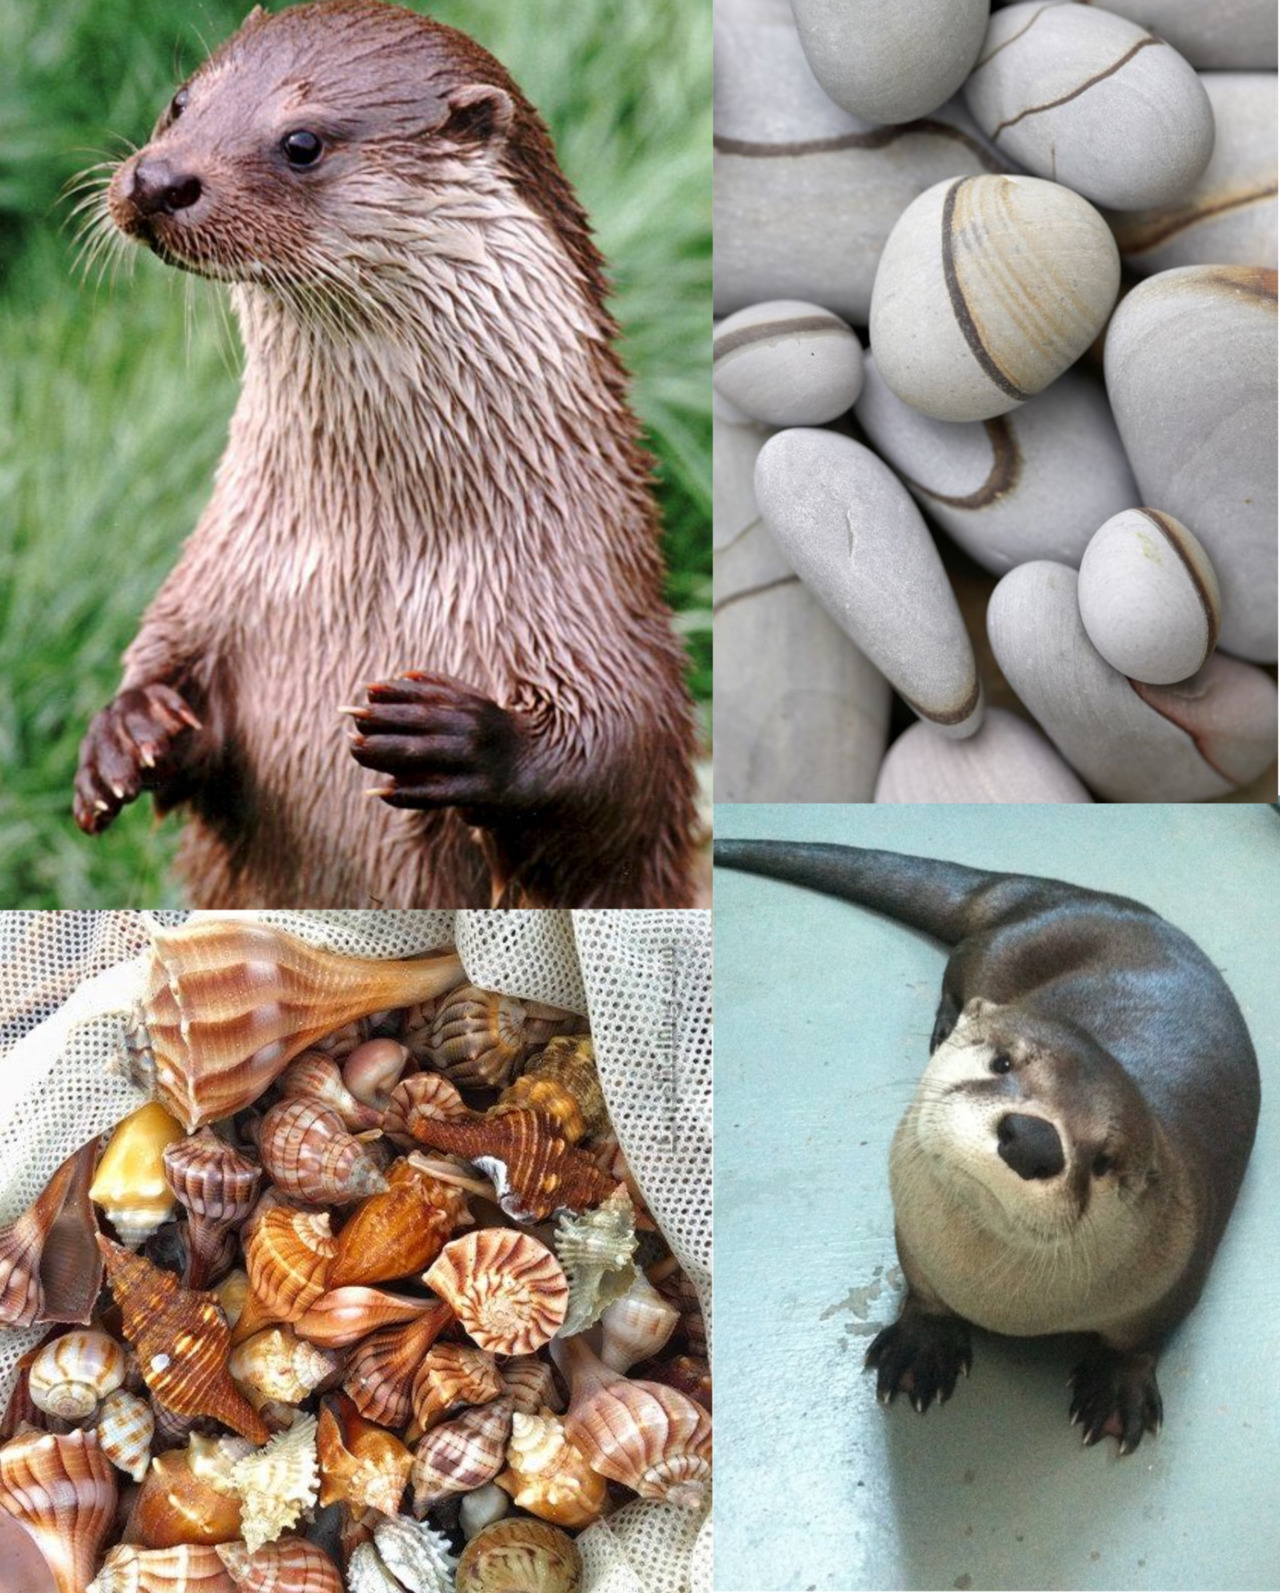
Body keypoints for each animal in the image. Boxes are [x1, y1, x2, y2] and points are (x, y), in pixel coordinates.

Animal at [73, 0, 699, 907]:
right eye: (181, 100)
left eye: (303, 142)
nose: (159, 180)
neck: (372, 565)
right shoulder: (212, 580)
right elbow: (162, 657)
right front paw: (127, 733)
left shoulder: (599, 608)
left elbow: (620, 775)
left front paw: (463, 738)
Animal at [714, 837, 1260, 1453]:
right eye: (1002, 1063)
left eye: (1102, 1161)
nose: (1034, 1140)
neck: (996, 1299)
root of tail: (1063, 894)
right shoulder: (914, 1237)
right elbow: (922, 1289)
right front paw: (922, 1346)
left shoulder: (1178, 1273)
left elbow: (1141, 1339)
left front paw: (1119, 1387)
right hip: (998, 948)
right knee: (959, 966)